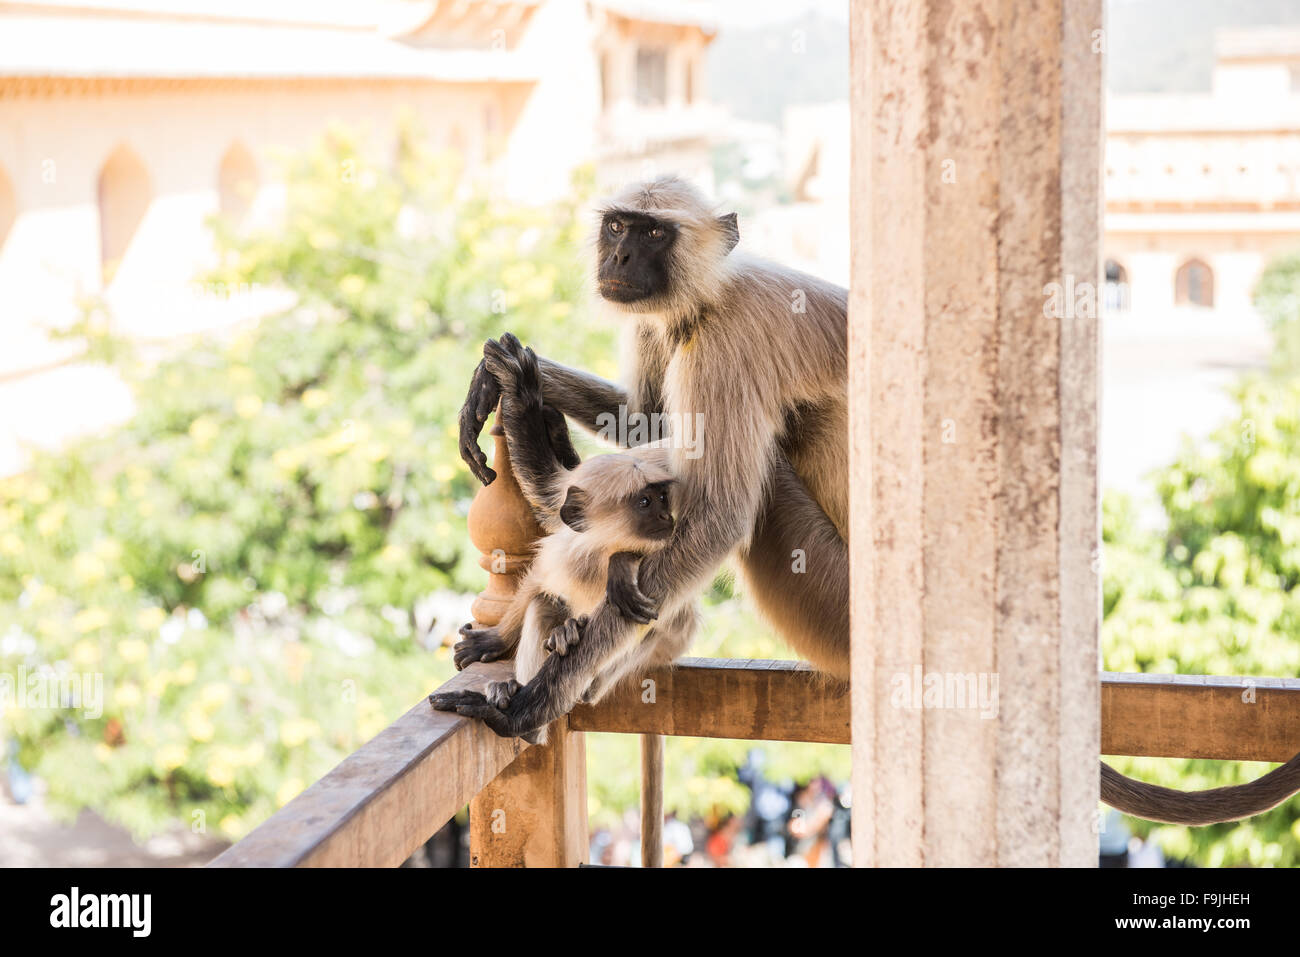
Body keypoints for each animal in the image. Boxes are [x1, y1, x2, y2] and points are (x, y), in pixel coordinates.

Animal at [444, 175, 1300, 826]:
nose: (619, 254)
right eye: (619, 226)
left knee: (759, 487)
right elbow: (643, 420)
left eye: (653, 233)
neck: (709, 298)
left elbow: (717, 510)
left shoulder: (728, 342)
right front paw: (511, 380)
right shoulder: (669, 327)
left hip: (834, 595)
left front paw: (536, 696)